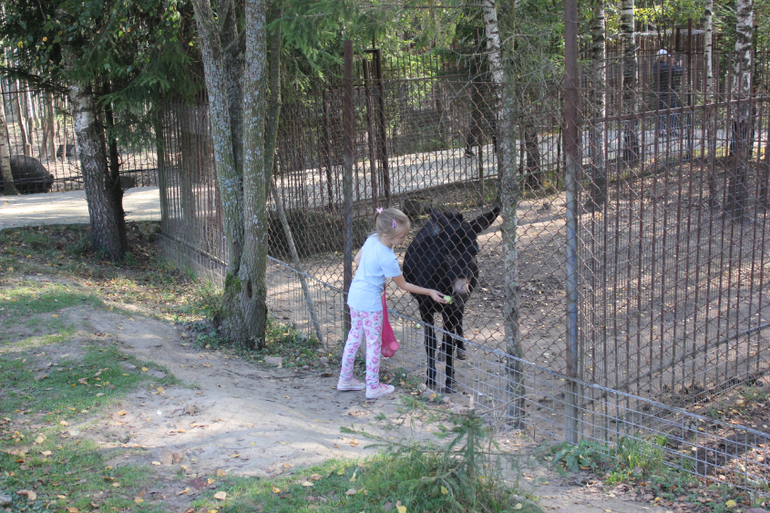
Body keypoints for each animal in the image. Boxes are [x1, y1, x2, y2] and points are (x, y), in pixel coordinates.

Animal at [400, 204, 500, 392]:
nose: (460, 293)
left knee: (456, 325)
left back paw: (460, 349)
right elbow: (430, 342)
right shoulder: (425, 307)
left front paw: (449, 380)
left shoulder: (452, 308)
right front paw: (430, 378)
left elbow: (448, 341)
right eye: (446, 251)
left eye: (475, 252)